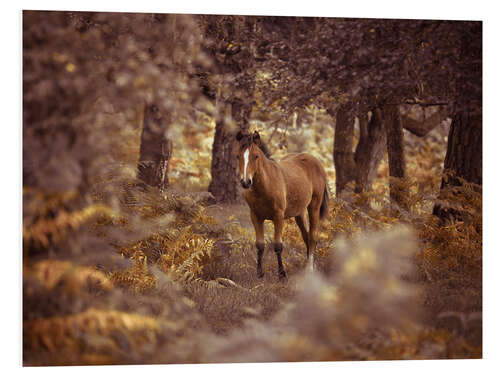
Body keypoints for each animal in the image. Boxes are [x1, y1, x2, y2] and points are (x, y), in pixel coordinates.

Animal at [236, 131, 330, 280]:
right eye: (238, 156)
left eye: (256, 156)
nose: (246, 182)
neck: (265, 186)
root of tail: (315, 161)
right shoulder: (255, 216)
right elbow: (260, 245)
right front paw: (259, 273)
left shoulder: (278, 216)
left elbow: (278, 245)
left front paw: (282, 274)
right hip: (299, 213)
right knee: (306, 236)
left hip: (314, 207)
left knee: (313, 236)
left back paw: (310, 269)